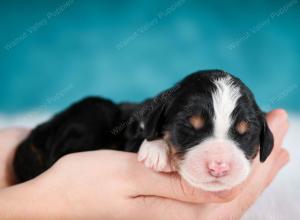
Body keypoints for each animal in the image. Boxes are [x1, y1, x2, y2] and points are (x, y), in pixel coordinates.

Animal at [14, 69, 274, 192]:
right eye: (188, 127)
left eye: (244, 133)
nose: (218, 167)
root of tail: (42, 129)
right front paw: (156, 151)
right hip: (95, 110)